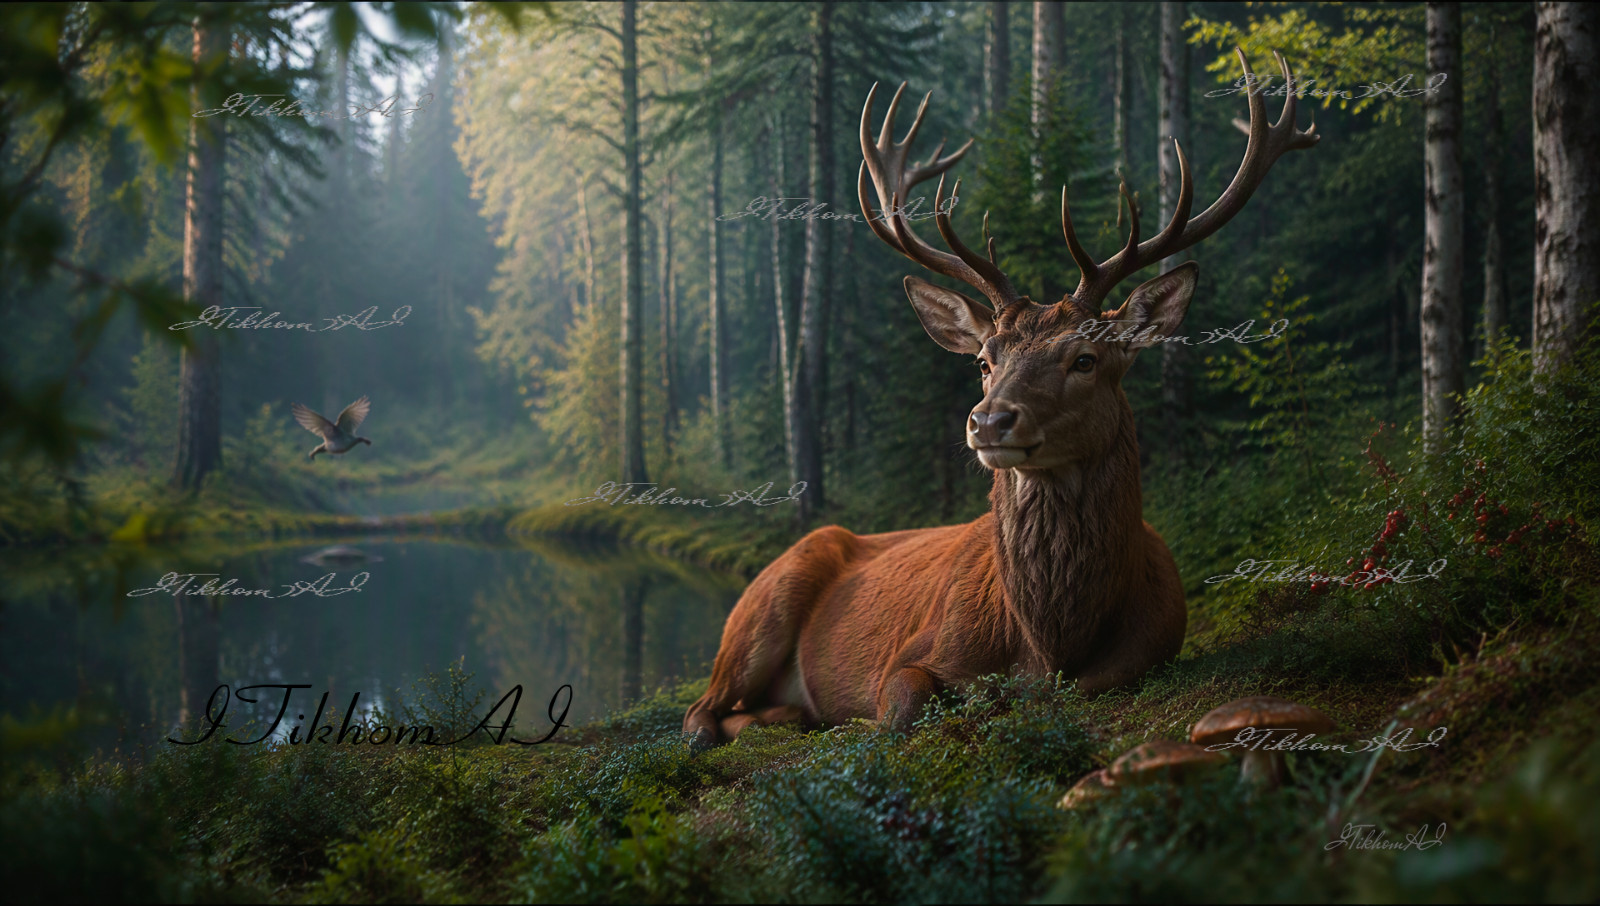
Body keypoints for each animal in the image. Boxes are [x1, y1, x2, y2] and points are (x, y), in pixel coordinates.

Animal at [684, 50, 1318, 752]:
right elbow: (902, 706)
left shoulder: (1147, 651)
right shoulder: (913, 653)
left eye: (1085, 358)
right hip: (760, 606)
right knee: (700, 709)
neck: (1045, 642)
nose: (989, 420)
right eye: (984, 361)